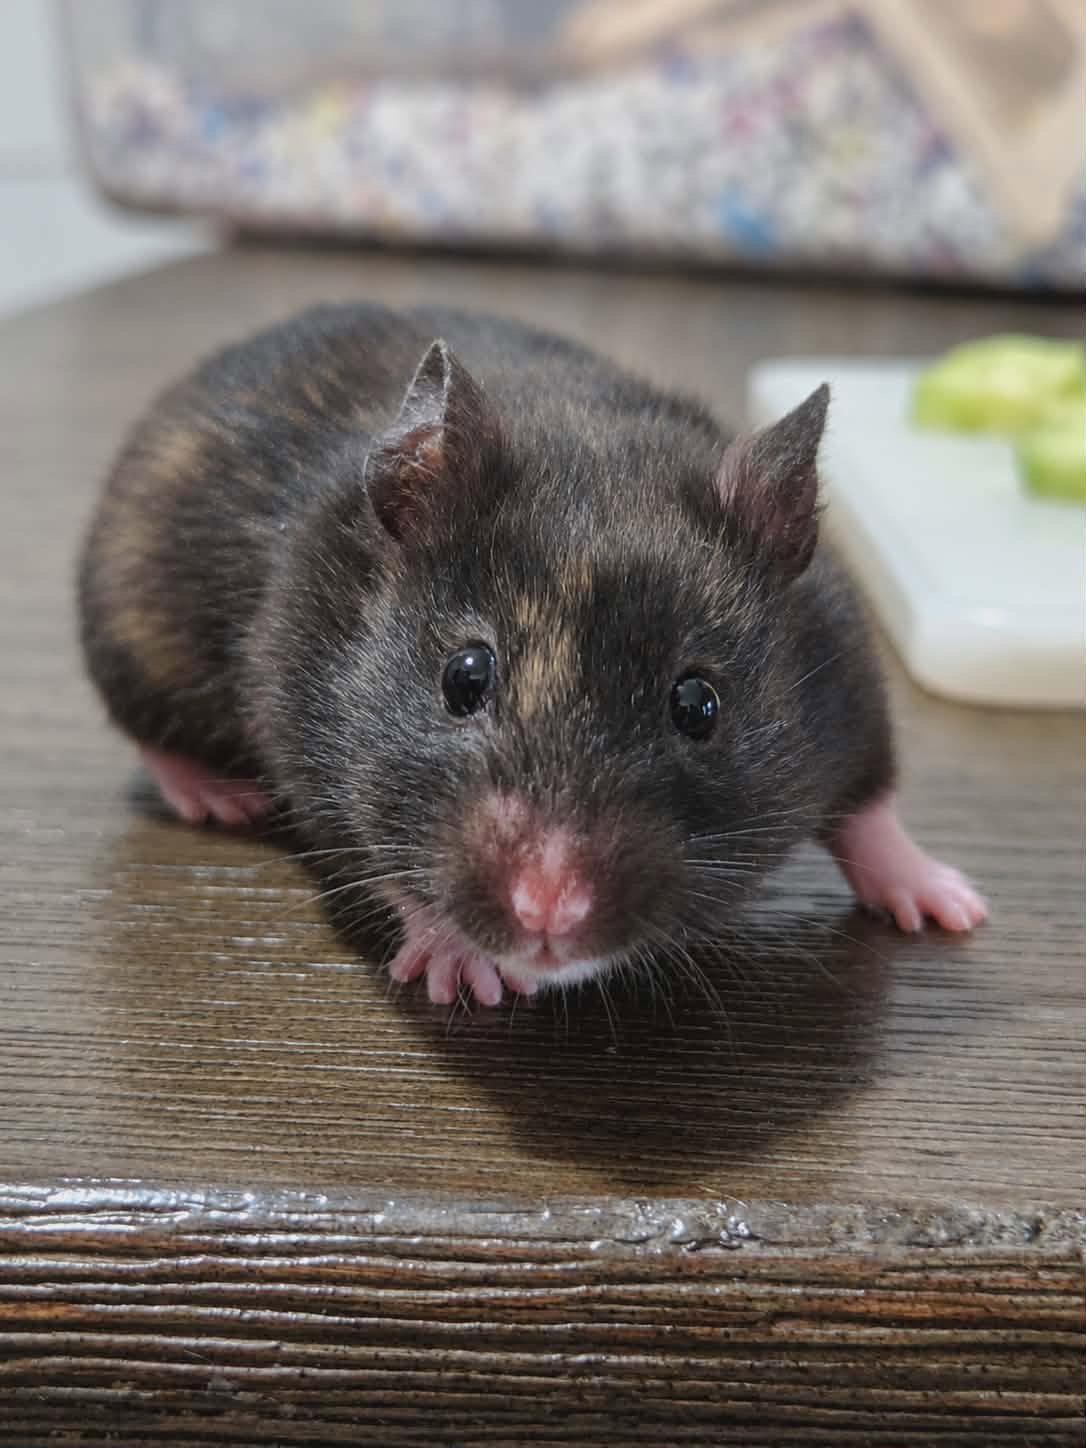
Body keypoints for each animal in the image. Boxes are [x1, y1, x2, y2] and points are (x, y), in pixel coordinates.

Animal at [78, 302, 987, 1006]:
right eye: (463, 678)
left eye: (698, 705)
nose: (548, 918)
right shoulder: (300, 727)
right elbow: (379, 854)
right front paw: (469, 977)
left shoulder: (850, 679)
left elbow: (871, 808)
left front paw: (956, 908)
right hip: (132, 632)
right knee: (149, 734)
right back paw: (219, 797)